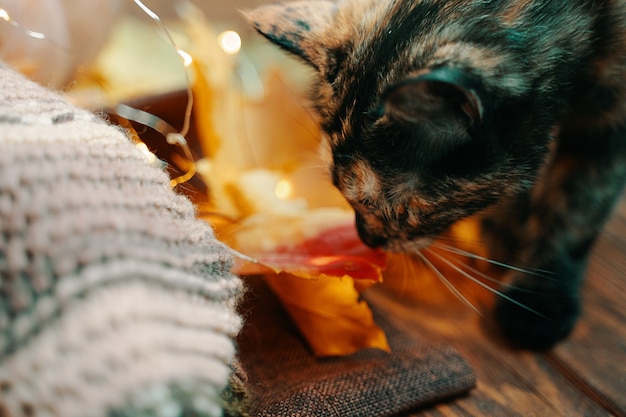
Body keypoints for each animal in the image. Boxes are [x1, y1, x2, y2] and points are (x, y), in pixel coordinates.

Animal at [244, 0, 624, 350]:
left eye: (405, 210)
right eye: (338, 189)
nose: (367, 238)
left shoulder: (608, 125)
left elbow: (577, 209)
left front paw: (540, 300)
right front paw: (503, 233)